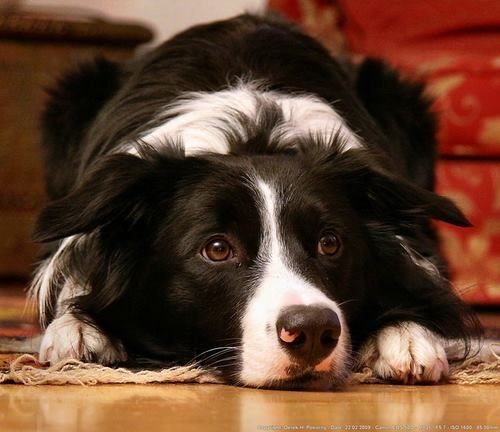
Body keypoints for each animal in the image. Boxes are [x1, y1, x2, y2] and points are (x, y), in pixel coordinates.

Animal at [30, 14, 480, 392]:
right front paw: (77, 331)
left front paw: (408, 335)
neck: (252, 138)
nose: (312, 331)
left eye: (330, 243)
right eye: (216, 249)